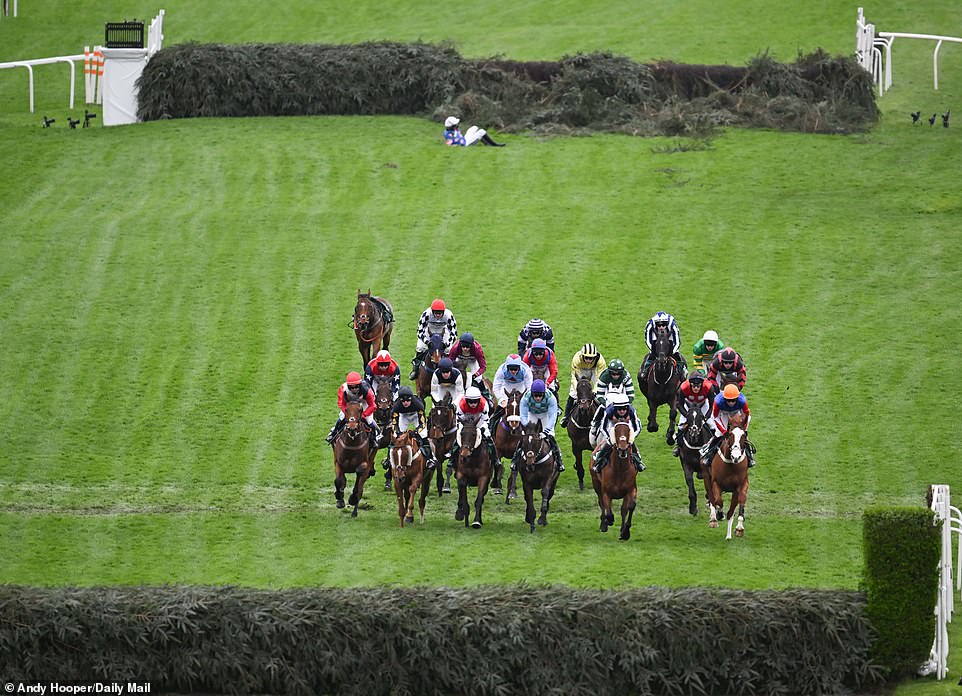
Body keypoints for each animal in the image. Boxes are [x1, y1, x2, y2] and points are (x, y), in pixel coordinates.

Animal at [704, 410, 752, 540]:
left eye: (743, 436)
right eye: (730, 435)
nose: (736, 456)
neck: (731, 463)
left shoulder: (740, 485)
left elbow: (739, 502)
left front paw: (738, 528)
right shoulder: (716, 483)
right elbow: (718, 501)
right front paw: (719, 514)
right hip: (706, 477)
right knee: (711, 497)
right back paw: (714, 518)